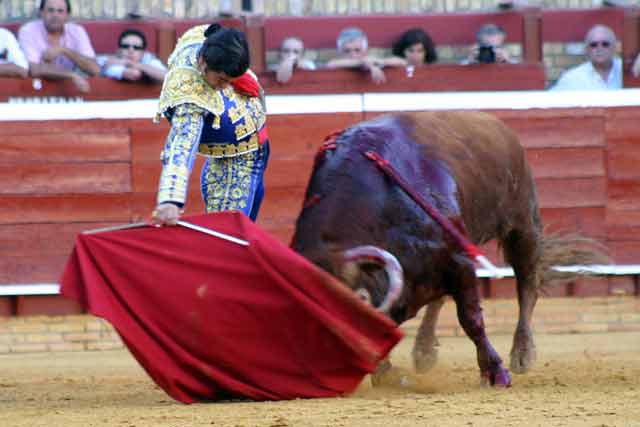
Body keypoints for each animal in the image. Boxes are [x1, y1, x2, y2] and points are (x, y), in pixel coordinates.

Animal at [292, 110, 596, 388]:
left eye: (359, 300)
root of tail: (499, 127)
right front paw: (386, 372)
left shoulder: (459, 260)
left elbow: (471, 319)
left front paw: (495, 373)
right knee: (438, 299)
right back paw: (424, 351)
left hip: (522, 225)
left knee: (527, 283)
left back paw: (522, 354)